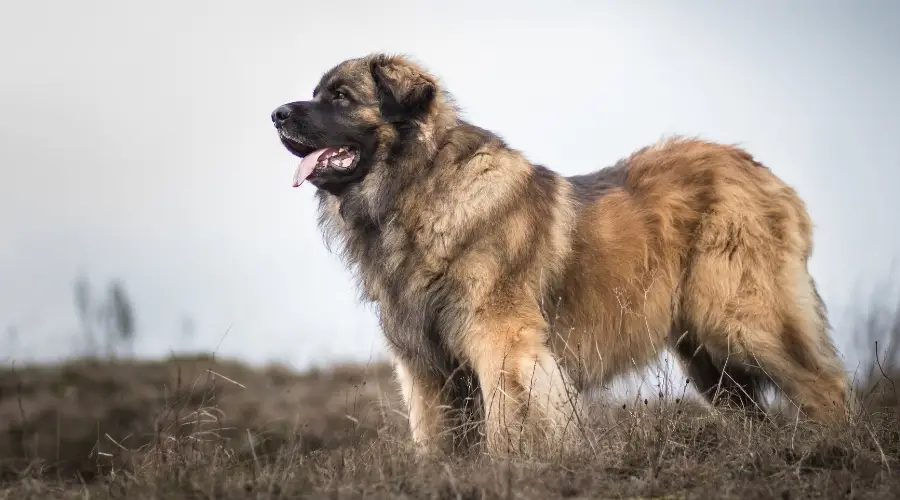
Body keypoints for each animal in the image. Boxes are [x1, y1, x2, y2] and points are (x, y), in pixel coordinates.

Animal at [270, 52, 848, 456]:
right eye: (318, 93)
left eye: (340, 96)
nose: (276, 114)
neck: (417, 189)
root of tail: (757, 168)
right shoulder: (426, 365)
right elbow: (436, 441)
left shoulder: (503, 344)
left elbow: (508, 427)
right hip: (707, 356)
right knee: (754, 410)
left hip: (741, 318)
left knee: (825, 385)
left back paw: (835, 451)